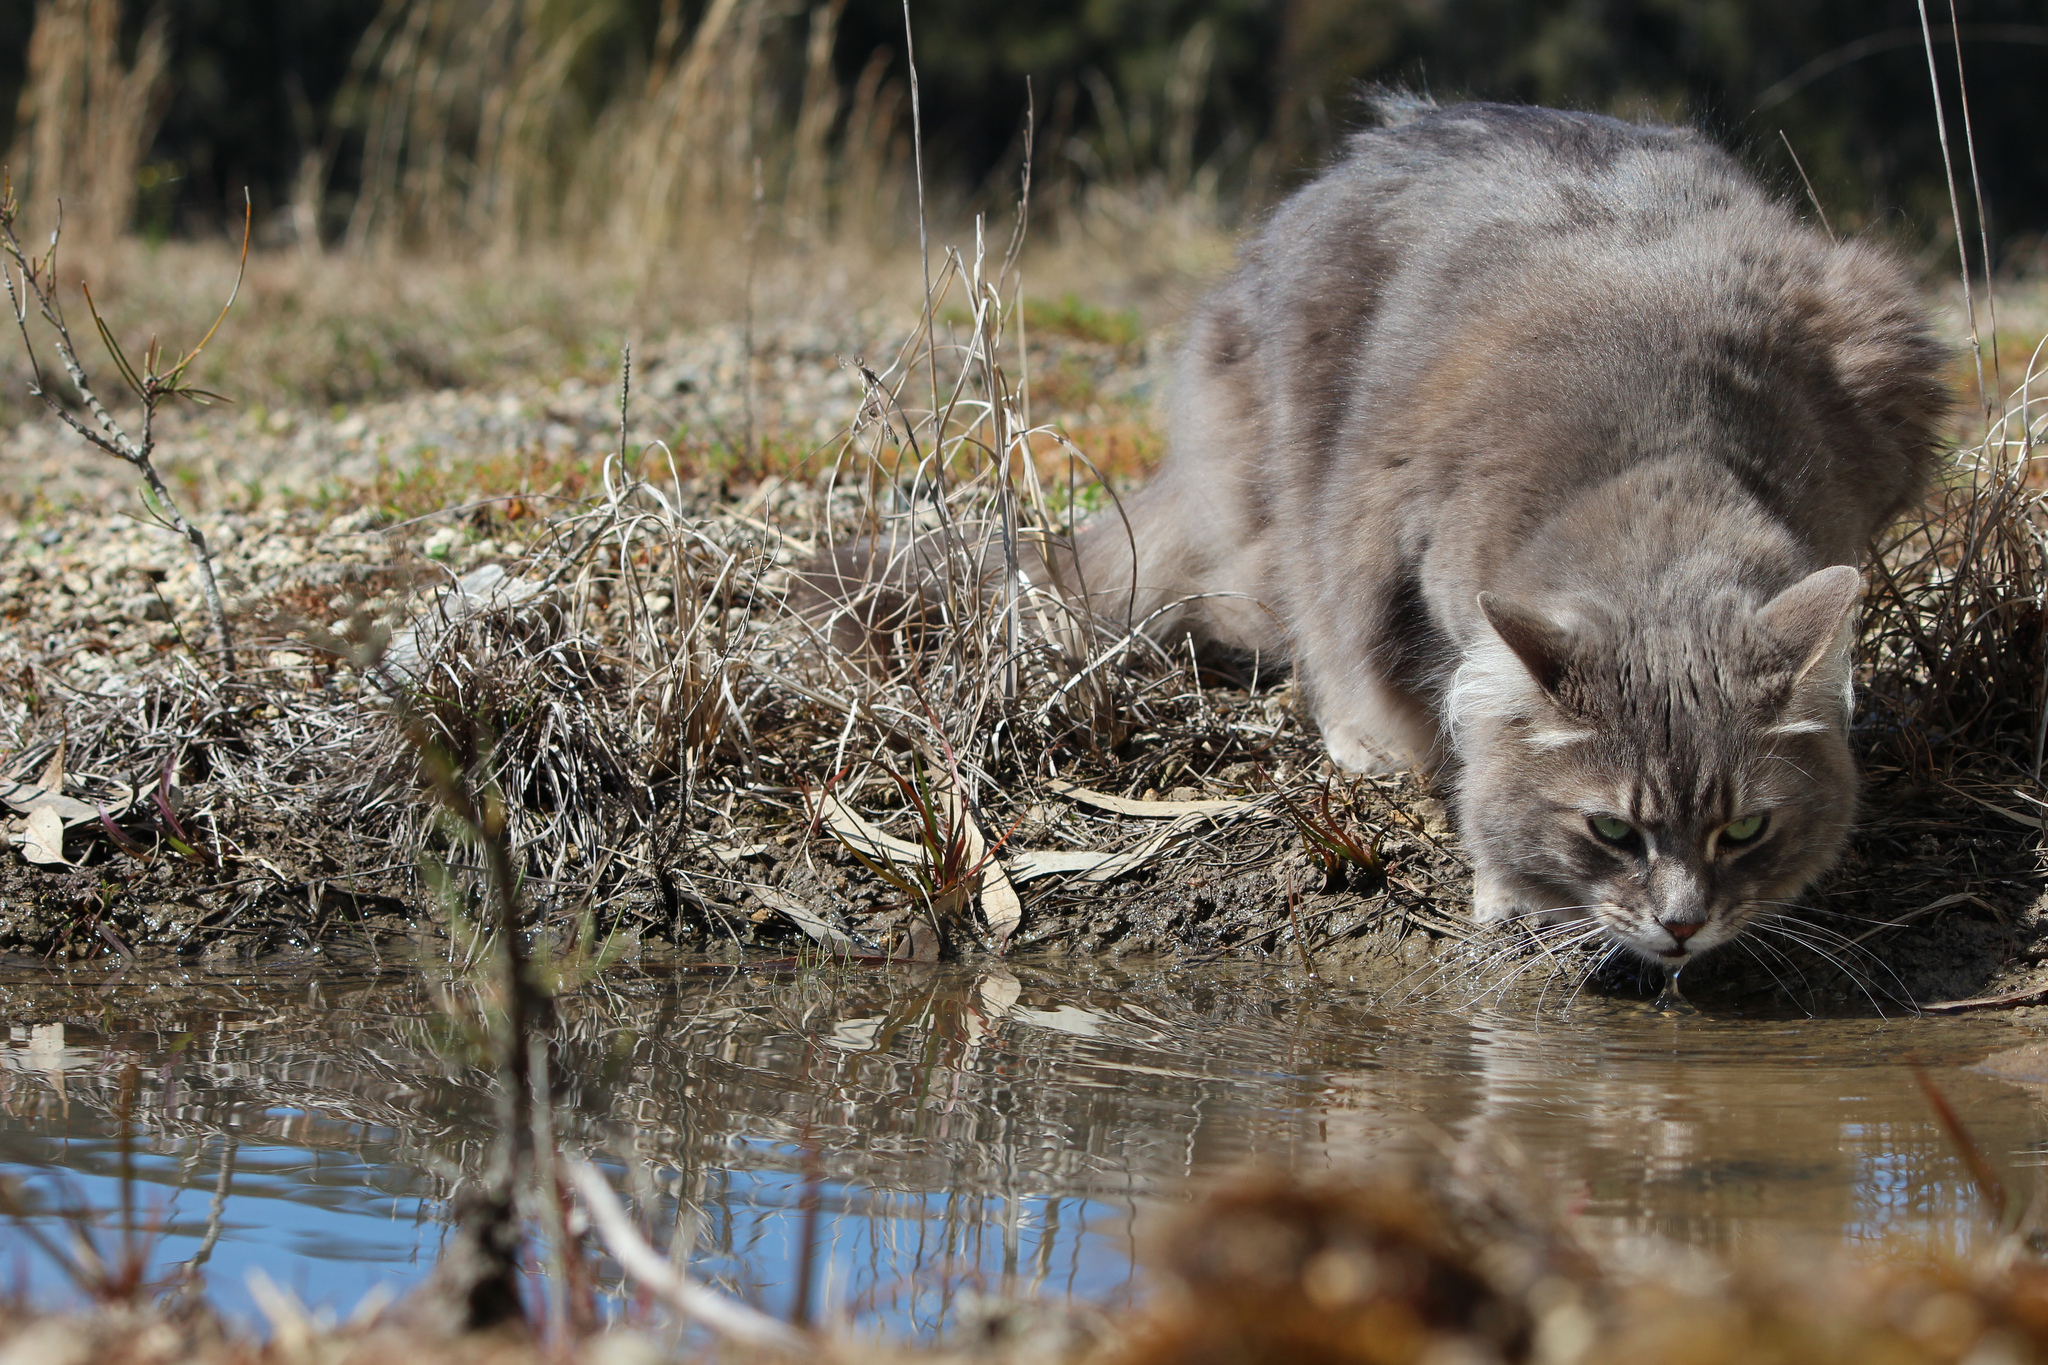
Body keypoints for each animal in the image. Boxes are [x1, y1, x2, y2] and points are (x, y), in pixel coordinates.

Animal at [1064, 96, 1941, 965]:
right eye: (1612, 830)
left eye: (1747, 828)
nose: (1683, 925)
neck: (1668, 460)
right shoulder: (1413, 568)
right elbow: (1471, 734)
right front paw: (1506, 886)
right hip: (1301, 483)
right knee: (1314, 625)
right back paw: (1362, 738)